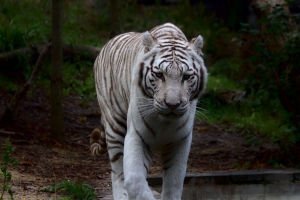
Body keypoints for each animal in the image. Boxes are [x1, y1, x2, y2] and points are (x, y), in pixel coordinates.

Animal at [91, 22, 206, 199]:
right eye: (159, 75)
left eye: (186, 77)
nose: (172, 104)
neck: (165, 123)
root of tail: (106, 45)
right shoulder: (137, 136)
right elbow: (134, 181)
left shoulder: (180, 140)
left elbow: (174, 183)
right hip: (114, 125)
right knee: (117, 171)